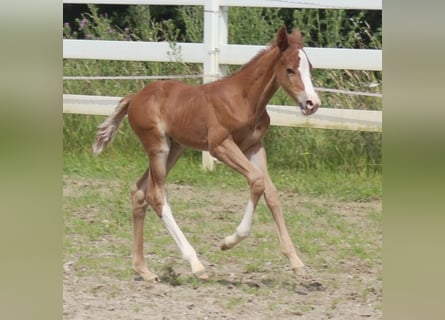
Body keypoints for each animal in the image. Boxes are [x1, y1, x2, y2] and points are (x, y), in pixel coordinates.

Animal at [93, 26, 320, 282]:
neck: (244, 99)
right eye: (289, 69)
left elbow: (271, 193)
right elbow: (257, 181)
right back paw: (196, 265)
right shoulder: (220, 146)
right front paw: (227, 242)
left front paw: (296, 262)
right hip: (158, 147)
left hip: (175, 148)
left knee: (138, 192)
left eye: (310, 68)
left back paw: (144, 270)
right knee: (156, 195)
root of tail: (134, 98)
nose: (312, 103)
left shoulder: (254, 146)